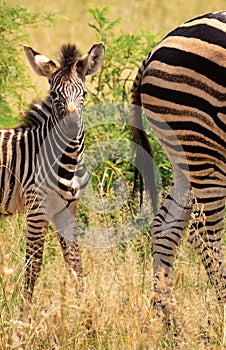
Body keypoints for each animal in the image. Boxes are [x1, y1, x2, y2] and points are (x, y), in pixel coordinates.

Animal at [0, 41, 104, 304]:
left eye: (84, 94)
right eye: (55, 95)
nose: (72, 127)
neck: (68, 162)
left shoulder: (67, 211)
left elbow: (76, 265)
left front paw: (84, 311)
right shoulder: (37, 209)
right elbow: (33, 266)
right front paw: (25, 313)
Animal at [131, 10, 226, 322]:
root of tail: (156, 48)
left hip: (184, 154)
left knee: (165, 224)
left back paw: (168, 316)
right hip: (204, 147)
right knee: (203, 232)